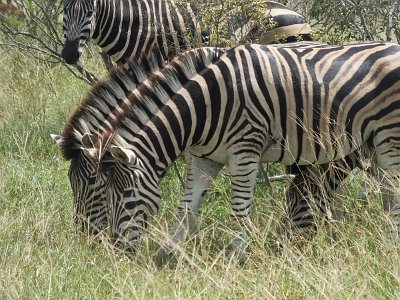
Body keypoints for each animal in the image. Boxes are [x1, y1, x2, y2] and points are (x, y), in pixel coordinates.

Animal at [61, 41, 398, 258]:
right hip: (374, 144)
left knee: (392, 197)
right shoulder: (204, 158)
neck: (202, 107)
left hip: (389, 139)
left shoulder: (245, 152)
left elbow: (239, 208)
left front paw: (237, 257)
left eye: (95, 185)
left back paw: (389, 245)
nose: (108, 249)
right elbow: (186, 208)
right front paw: (166, 256)